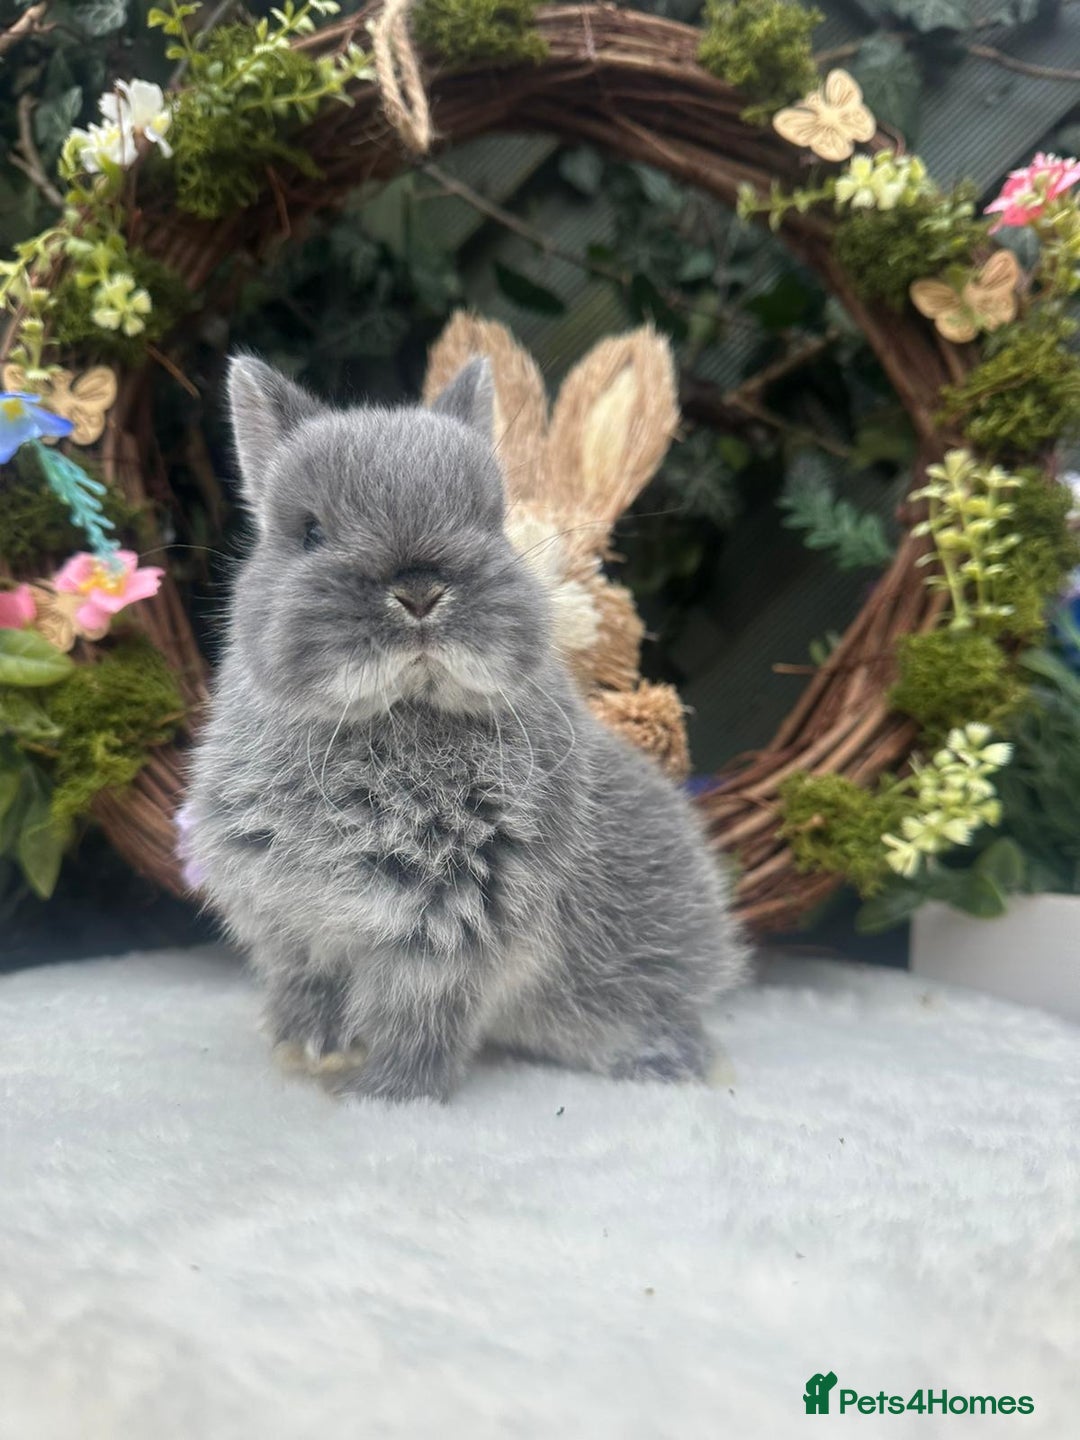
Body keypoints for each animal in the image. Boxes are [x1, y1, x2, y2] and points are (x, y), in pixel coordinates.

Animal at [181, 354, 749, 1103]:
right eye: (309, 533)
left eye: (489, 522)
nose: (420, 590)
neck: (398, 719)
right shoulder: (291, 924)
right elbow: (310, 987)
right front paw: (307, 1052)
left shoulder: (450, 931)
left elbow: (419, 1022)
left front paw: (386, 1096)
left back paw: (668, 1065)